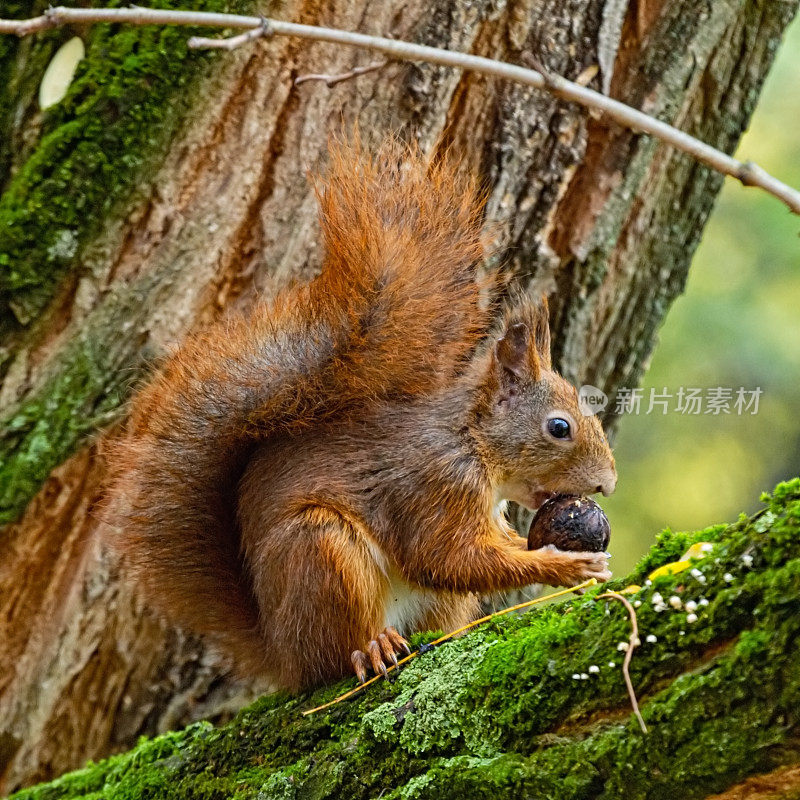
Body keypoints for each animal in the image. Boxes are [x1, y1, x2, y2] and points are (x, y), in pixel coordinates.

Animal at [104, 139, 620, 688]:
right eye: (559, 427)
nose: (607, 484)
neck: (473, 441)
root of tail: (281, 651)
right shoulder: (435, 484)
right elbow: (448, 558)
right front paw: (560, 565)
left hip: (427, 604)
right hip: (320, 550)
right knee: (336, 650)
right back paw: (370, 649)